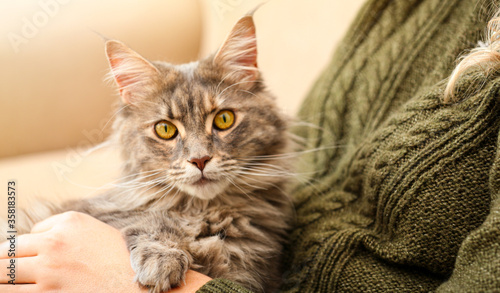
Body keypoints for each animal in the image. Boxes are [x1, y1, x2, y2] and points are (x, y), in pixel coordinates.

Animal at [10, 12, 292, 292]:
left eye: (224, 119)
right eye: (165, 129)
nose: (200, 159)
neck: (201, 211)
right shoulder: (101, 210)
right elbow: (149, 219)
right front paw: (162, 261)